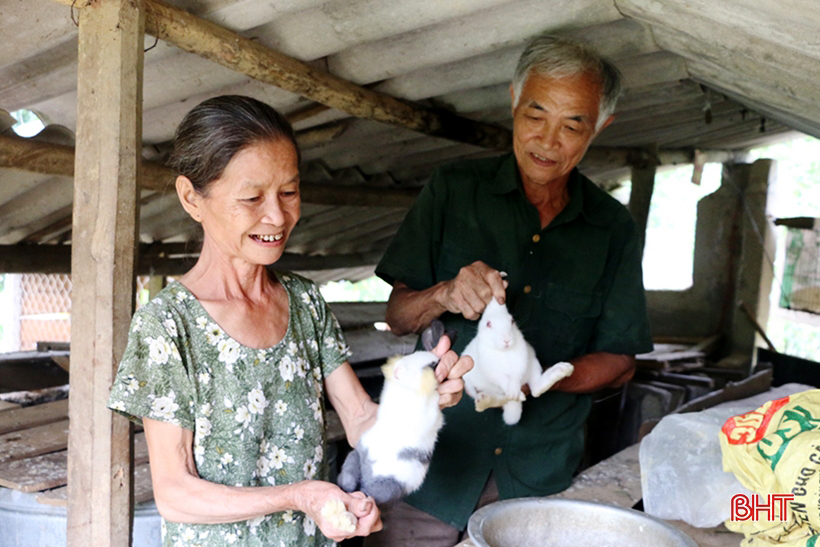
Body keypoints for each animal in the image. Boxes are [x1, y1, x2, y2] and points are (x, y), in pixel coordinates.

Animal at [336, 322, 448, 506]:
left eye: (431, 366)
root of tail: (368, 474)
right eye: (413, 354)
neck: (406, 389)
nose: (398, 369)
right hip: (356, 456)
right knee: (350, 479)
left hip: (387, 484)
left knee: (367, 491)